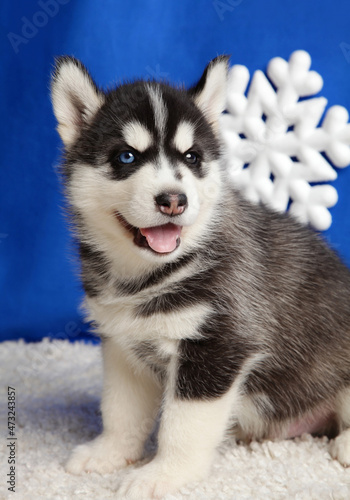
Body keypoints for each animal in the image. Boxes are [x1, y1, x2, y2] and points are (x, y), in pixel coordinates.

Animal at [51, 56, 350, 498]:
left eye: (192, 157)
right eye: (126, 157)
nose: (173, 200)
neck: (152, 275)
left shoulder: (218, 347)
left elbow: (182, 426)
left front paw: (164, 474)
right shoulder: (123, 347)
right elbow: (120, 410)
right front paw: (109, 453)